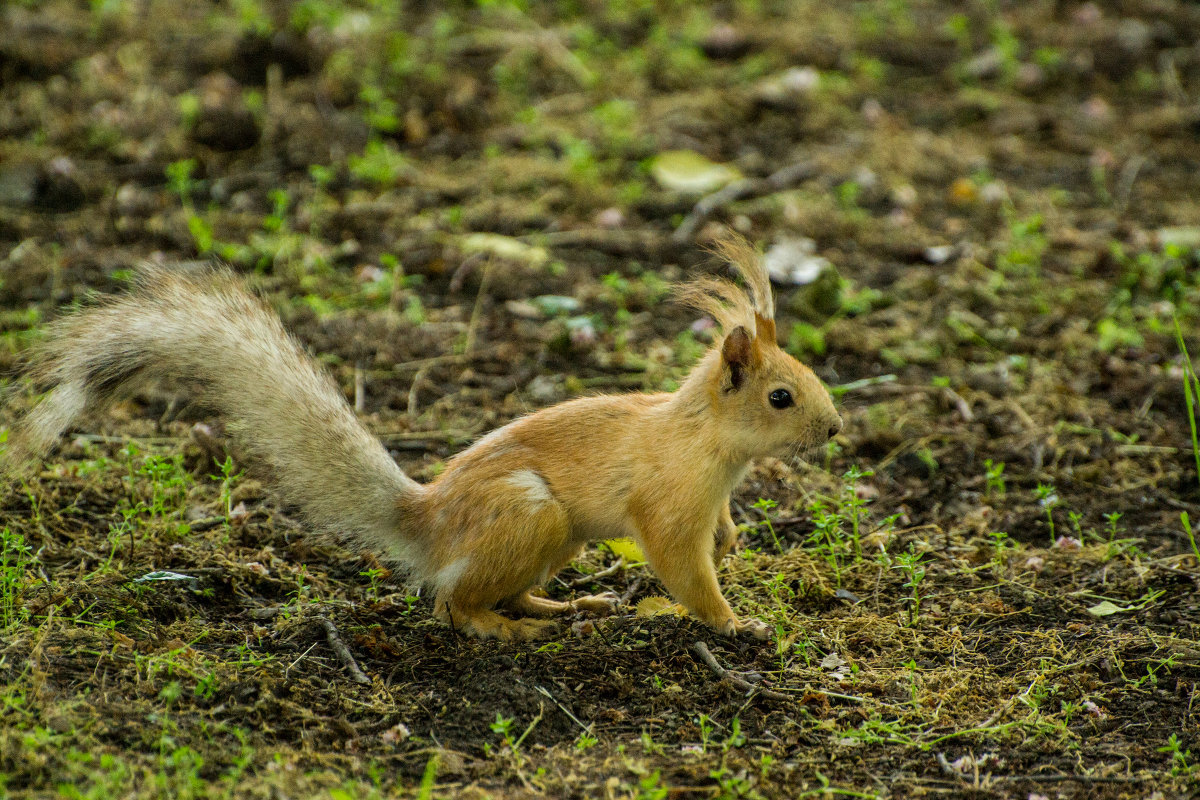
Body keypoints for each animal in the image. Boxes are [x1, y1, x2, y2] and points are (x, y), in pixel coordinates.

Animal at [2, 235, 844, 642]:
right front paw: (737, 623)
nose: (835, 428)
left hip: (555, 537)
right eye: (780, 395)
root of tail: (430, 521)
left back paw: (562, 605)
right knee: (451, 604)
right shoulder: (669, 506)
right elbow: (685, 570)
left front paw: (733, 543)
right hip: (531, 515)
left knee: (503, 588)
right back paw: (505, 630)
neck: (708, 443)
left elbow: (717, 538)